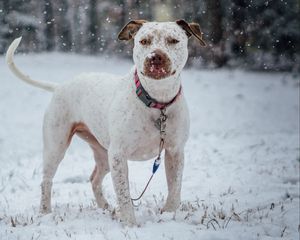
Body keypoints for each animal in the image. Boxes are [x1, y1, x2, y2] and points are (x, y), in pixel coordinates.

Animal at [5, 19, 205, 226]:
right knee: (46, 180)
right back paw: (45, 213)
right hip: (56, 146)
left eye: (173, 40)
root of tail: (59, 87)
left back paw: (106, 208)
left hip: (103, 153)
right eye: (144, 41)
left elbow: (175, 187)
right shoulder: (118, 155)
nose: (155, 57)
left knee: (94, 179)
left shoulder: (175, 151)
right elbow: (124, 194)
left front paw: (168, 215)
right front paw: (130, 224)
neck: (157, 101)